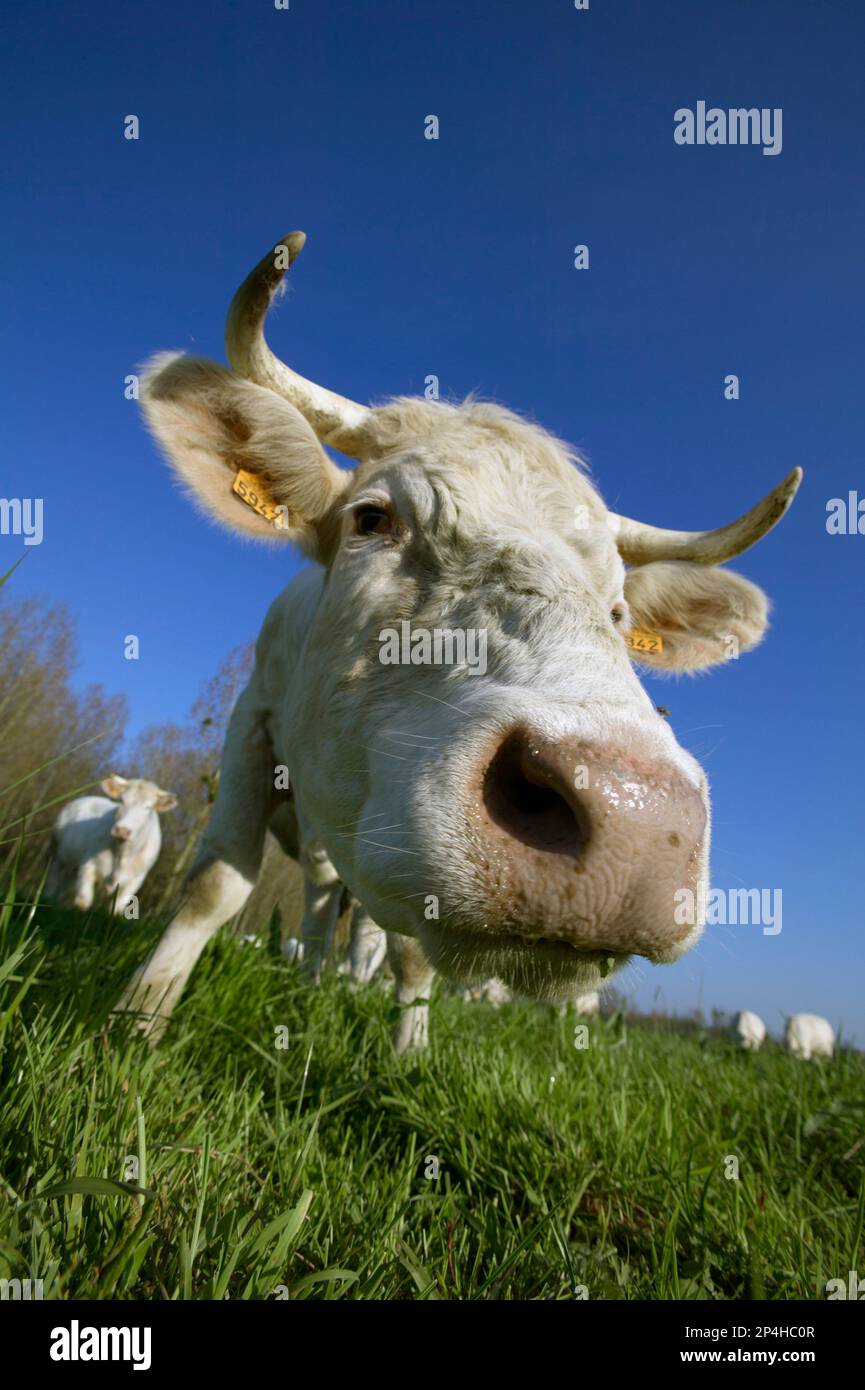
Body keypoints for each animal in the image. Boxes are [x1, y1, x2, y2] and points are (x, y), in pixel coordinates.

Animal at [48, 778, 177, 917]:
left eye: (148, 807)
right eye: (121, 800)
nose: (122, 830)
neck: (123, 854)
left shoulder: (137, 878)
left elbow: (115, 910)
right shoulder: (88, 864)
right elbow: (83, 902)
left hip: (72, 866)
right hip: (57, 854)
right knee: (53, 880)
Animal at [111, 230, 801, 1050]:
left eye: (617, 611)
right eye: (372, 518)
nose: (637, 819)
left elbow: (409, 952)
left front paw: (408, 1052)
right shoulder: (255, 715)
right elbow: (216, 882)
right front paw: (139, 1023)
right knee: (318, 898)